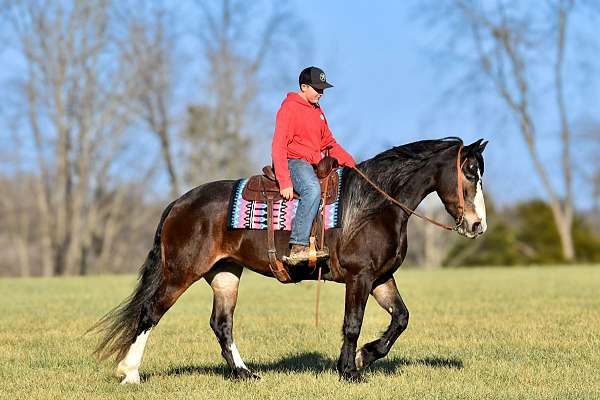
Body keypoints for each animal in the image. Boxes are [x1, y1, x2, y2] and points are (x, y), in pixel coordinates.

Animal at [91, 138, 490, 384]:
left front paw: (364, 357)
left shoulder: (380, 278)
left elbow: (401, 319)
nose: (477, 225)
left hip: (225, 273)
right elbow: (352, 324)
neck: (374, 206)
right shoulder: (359, 277)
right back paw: (130, 373)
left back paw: (244, 373)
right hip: (180, 272)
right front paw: (349, 370)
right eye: (470, 171)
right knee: (150, 313)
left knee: (221, 324)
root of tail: (179, 203)